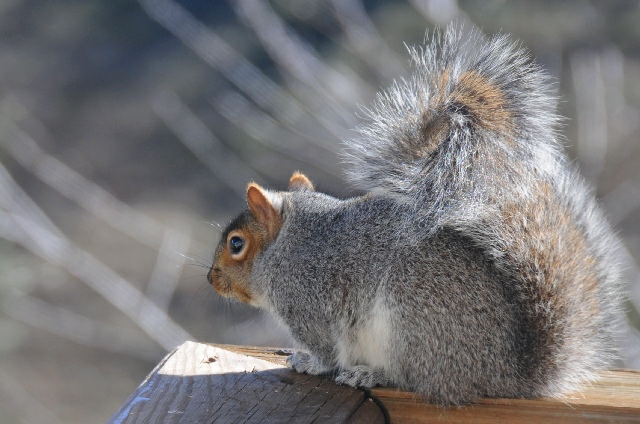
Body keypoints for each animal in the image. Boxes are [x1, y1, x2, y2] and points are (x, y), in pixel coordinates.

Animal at [206, 26, 624, 404]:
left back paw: (368, 373)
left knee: (414, 380)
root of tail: (507, 376)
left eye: (237, 244)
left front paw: (307, 362)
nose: (212, 280)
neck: (288, 246)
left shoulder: (310, 304)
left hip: (409, 319)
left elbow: (324, 350)